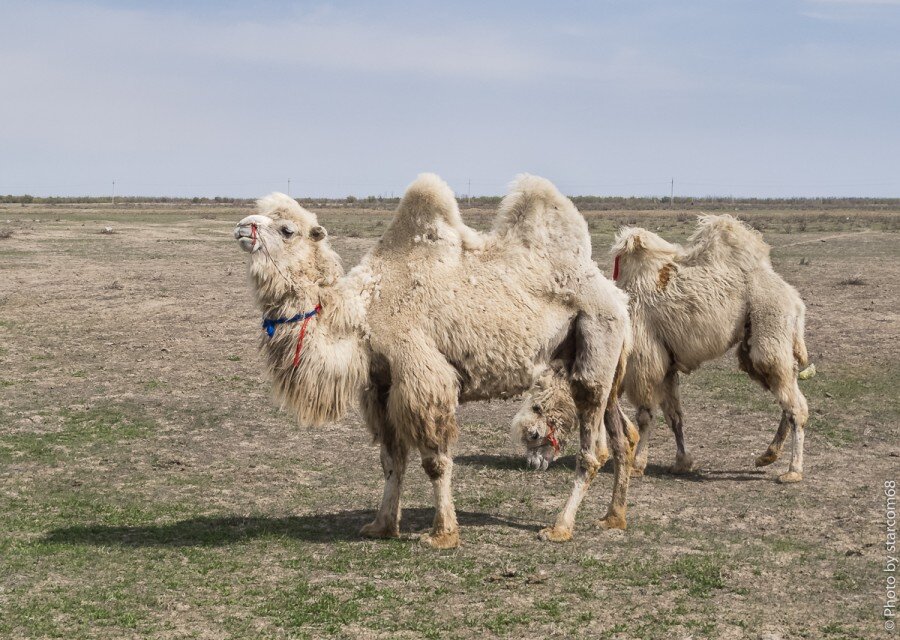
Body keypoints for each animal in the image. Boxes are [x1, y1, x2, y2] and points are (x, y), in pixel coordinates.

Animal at [233, 174, 636, 547]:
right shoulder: (381, 386)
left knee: (593, 449)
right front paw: (381, 526)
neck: (363, 313)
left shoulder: (422, 377)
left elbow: (435, 461)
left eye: (287, 230)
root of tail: (616, 296)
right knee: (622, 439)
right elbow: (391, 460)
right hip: (601, 362)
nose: (241, 227)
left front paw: (442, 533)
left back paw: (560, 527)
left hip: (595, 343)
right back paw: (613, 518)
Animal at [513, 214, 810, 484]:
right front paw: (682, 462)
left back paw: (792, 471)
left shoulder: (644, 365)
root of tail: (792, 296)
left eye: (535, 428)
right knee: (786, 394)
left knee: (795, 404)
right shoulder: (666, 367)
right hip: (757, 343)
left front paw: (637, 464)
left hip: (769, 328)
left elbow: (646, 415)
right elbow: (674, 416)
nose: (532, 462)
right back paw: (767, 455)